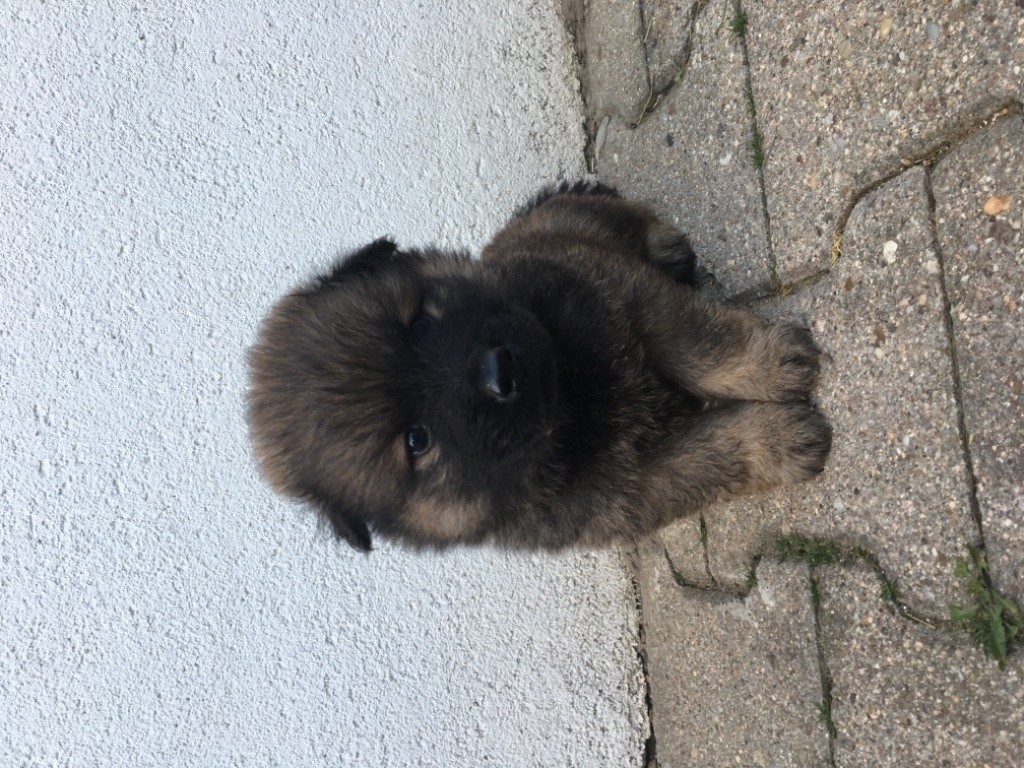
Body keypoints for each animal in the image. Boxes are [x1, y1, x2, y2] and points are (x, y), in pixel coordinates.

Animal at [247, 181, 831, 552]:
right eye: (417, 440)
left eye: (419, 325)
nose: (499, 372)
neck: (572, 393)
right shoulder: (637, 488)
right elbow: (715, 454)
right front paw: (781, 440)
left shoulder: (627, 294)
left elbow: (704, 344)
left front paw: (775, 362)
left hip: (577, 225)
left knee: (608, 212)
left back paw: (666, 247)